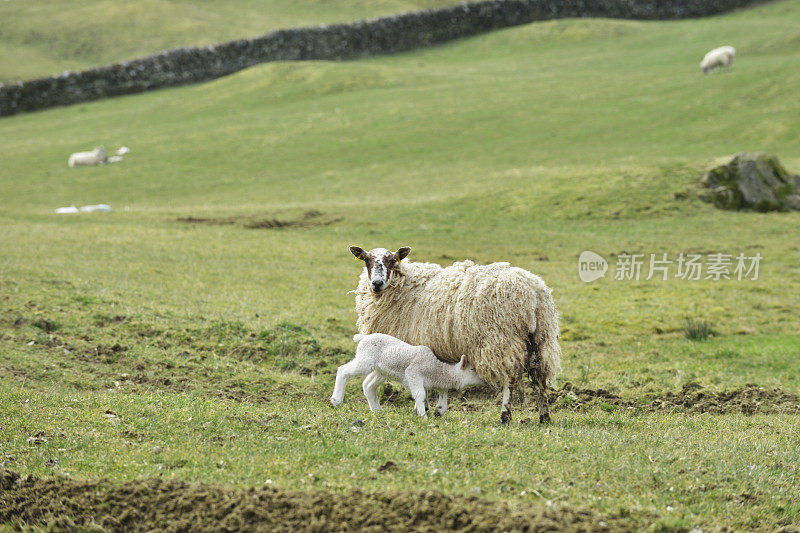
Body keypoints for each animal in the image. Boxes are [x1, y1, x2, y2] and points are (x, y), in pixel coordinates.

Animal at [330, 332, 482, 416]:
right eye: (472, 369)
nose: (483, 379)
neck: (436, 370)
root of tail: (364, 337)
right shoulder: (412, 373)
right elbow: (420, 395)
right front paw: (423, 416)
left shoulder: (422, 382)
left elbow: (435, 395)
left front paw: (431, 410)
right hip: (365, 360)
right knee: (343, 370)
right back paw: (336, 399)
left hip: (380, 370)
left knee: (368, 385)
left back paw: (377, 411)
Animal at [350, 245, 564, 424]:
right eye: (366, 260)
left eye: (393, 260)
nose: (377, 283)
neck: (404, 285)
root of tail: (533, 292)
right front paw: (437, 408)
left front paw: (425, 408)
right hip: (541, 339)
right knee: (540, 377)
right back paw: (544, 416)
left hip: (501, 340)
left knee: (509, 379)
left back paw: (505, 415)